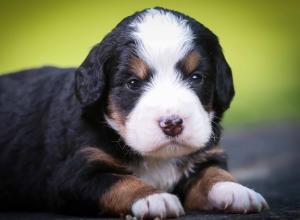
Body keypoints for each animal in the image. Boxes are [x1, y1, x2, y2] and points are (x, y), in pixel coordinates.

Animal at [0, 7, 268, 219]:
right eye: (132, 83)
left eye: (196, 77)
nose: (172, 123)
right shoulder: (75, 174)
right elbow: (119, 181)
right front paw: (152, 197)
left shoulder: (206, 157)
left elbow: (213, 172)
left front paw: (237, 191)